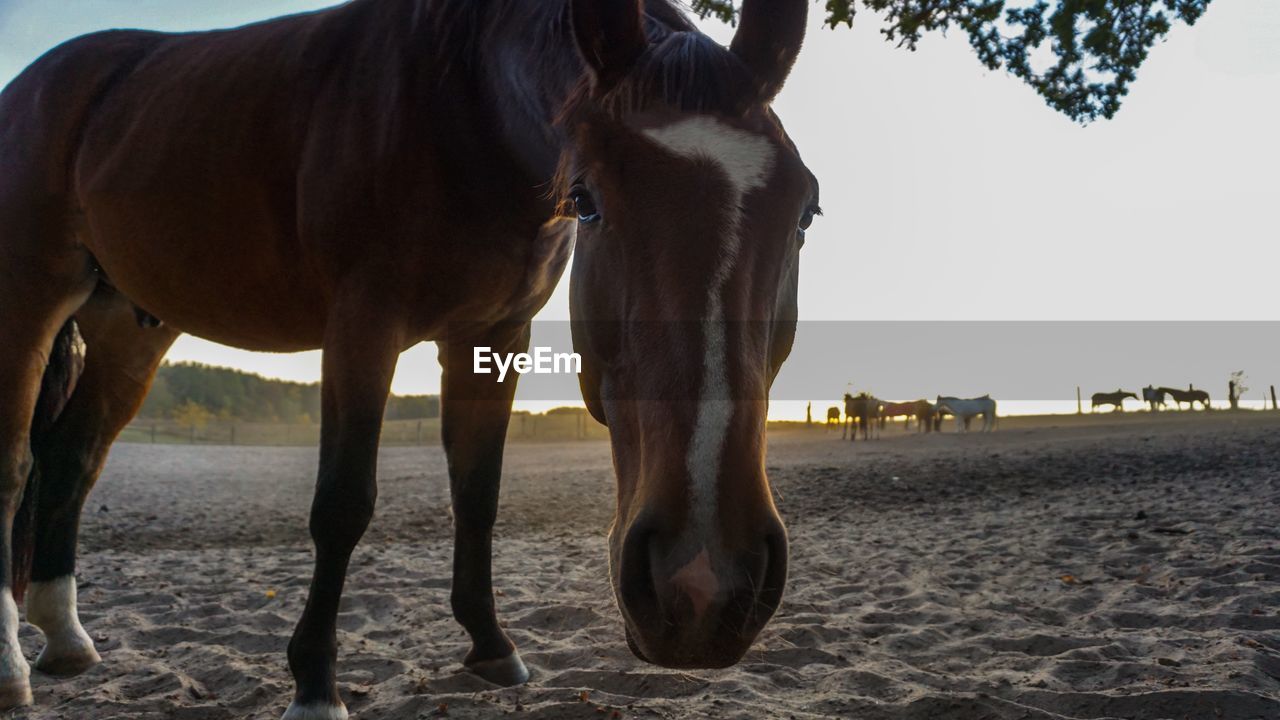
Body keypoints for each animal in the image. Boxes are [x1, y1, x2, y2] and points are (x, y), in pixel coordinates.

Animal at [0, 1, 819, 712]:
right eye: (586, 201)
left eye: (806, 209)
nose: (703, 583)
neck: (458, 106)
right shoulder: (362, 325)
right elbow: (343, 504)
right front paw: (315, 684)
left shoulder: (495, 334)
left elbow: (479, 494)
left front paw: (491, 646)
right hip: (30, 300)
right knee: (15, 465)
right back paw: (13, 668)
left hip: (128, 327)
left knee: (72, 460)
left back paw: (65, 636)